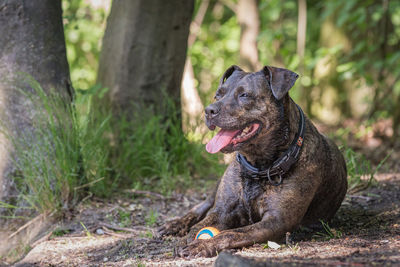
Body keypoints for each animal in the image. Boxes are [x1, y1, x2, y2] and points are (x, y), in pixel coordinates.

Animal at [157, 64, 346, 258]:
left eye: (244, 95)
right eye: (218, 94)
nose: (209, 110)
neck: (258, 166)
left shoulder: (277, 221)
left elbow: (231, 233)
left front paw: (202, 245)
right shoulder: (222, 210)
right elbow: (198, 226)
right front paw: (186, 239)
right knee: (202, 206)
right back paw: (175, 224)